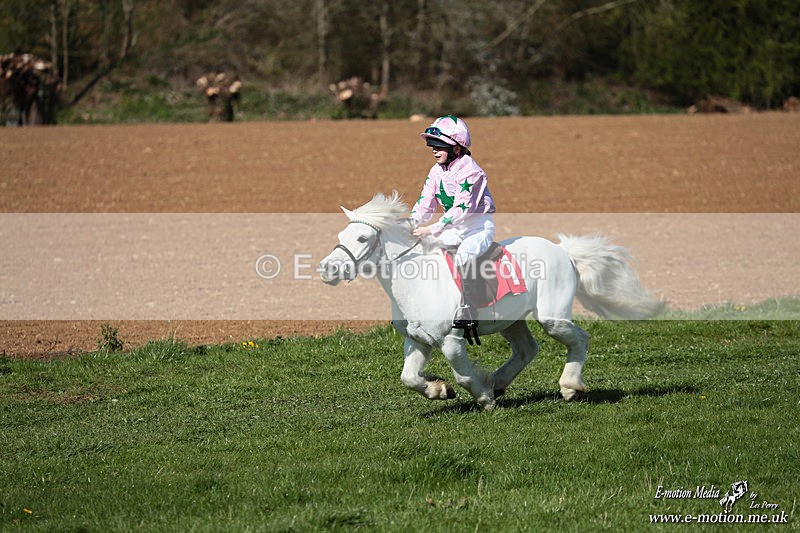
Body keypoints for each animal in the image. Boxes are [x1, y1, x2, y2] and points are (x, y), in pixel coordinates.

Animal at [319, 192, 664, 410]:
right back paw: (499, 382)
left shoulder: (451, 341)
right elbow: (409, 378)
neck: (417, 283)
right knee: (527, 349)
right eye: (340, 235)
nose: (327, 269)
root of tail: (562, 250)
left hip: (552, 318)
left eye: (363, 238)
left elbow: (462, 375)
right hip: (511, 321)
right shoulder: (417, 341)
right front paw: (440, 389)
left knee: (579, 338)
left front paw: (482, 397)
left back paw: (569, 387)